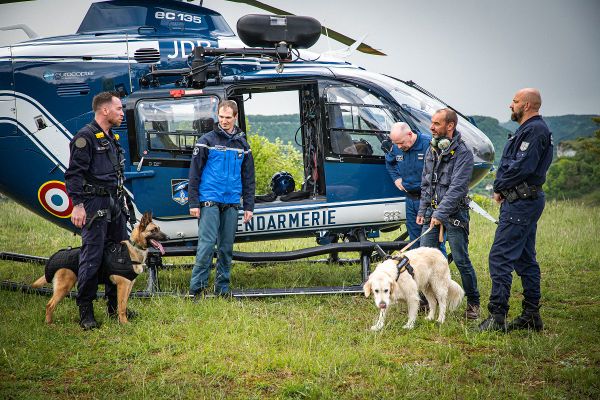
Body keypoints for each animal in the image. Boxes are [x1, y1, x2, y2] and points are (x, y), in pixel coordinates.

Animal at [34, 211, 168, 324]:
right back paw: (50, 324)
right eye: (153, 230)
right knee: (49, 305)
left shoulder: (129, 285)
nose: (167, 238)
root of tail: (55, 257)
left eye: (159, 229)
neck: (134, 248)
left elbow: (123, 304)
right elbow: (121, 306)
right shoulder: (123, 285)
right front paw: (124, 323)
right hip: (64, 287)